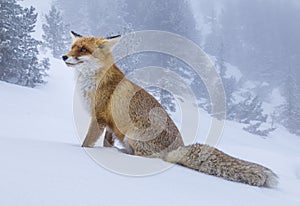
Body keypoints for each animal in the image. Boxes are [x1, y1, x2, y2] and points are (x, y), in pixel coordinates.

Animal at [62, 31, 278, 187]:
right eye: (72, 47)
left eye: (83, 49)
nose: (64, 56)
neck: (94, 81)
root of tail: (177, 147)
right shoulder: (110, 124)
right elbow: (105, 143)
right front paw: (105, 151)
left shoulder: (98, 118)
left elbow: (86, 144)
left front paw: (85, 152)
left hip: (133, 134)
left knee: (147, 158)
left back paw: (123, 155)